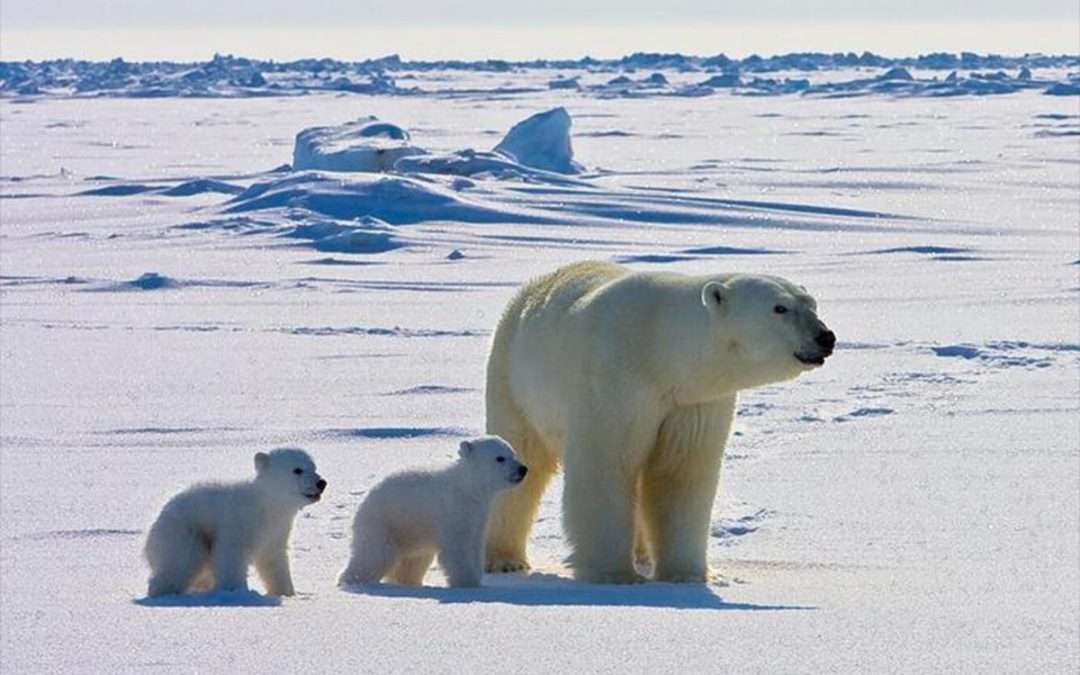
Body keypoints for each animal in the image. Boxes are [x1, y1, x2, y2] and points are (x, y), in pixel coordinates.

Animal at [143, 447, 326, 597]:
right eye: (297, 470)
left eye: (314, 467)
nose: (321, 483)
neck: (266, 505)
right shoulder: (238, 523)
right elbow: (231, 556)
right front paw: (235, 591)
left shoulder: (276, 530)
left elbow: (273, 561)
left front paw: (286, 593)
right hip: (184, 532)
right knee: (181, 561)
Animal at [338, 436, 527, 588]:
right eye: (500, 458)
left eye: (513, 453)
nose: (523, 469)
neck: (468, 488)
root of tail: (364, 502)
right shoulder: (454, 511)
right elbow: (457, 549)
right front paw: (467, 583)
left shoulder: (478, 516)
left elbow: (474, 546)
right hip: (385, 522)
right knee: (372, 556)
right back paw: (351, 580)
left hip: (412, 533)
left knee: (413, 563)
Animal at [483, 260, 834, 583]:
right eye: (779, 307)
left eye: (812, 304)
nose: (826, 337)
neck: (660, 349)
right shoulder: (615, 381)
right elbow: (607, 466)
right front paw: (614, 574)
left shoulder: (692, 402)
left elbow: (680, 473)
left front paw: (688, 575)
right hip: (513, 379)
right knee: (523, 457)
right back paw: (504, 559)